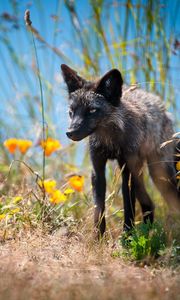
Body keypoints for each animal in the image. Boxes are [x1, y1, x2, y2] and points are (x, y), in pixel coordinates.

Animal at [61, 63, 179, 237]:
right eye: (72, 111)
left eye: (92, 110)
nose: (70, 133)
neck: (110, 142)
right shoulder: (97, 171)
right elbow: (99, 210)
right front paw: (97, 239)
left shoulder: (126, 172)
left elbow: (128, 208)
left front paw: (128, 237)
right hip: (141, 175)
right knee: (149, 204)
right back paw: (148, 232)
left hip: (158, 174)